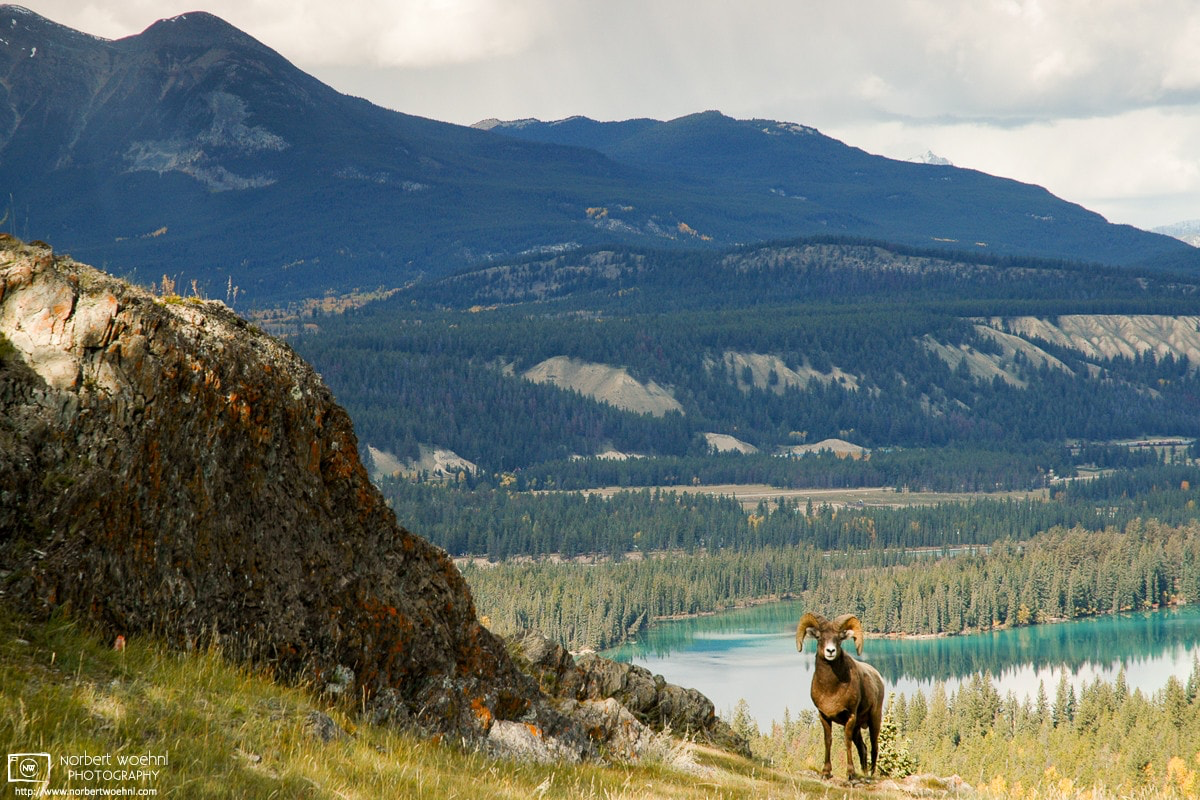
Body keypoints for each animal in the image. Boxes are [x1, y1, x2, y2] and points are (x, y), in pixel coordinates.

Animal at [796, 612, 885, 781]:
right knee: (862, 748)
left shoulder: (850, 716)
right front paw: (826, 772)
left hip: (874, 720)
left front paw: (850, 773)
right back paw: (864, 773)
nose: (830, 651)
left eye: (839, 638)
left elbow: (846, 741)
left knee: (874, 747)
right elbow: (828, 741)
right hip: (858, 727)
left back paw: (870, 775)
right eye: (819, 637)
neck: (831, 690)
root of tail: (878, 677)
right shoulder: (824, 716)